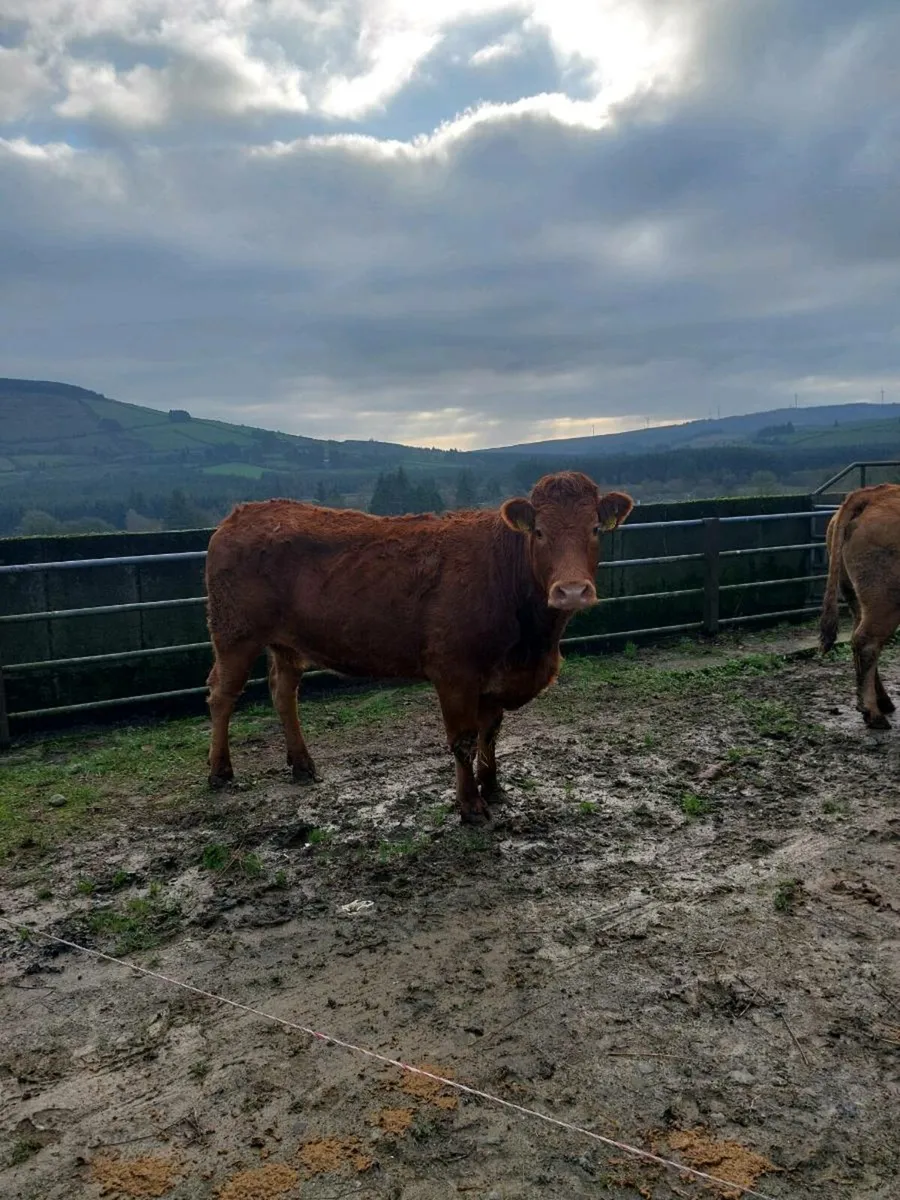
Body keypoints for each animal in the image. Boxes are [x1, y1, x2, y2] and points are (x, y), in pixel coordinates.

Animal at [205, 471, 634, 824]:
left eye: (596, 528)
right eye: (539, 532)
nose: (572, 591)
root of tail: (240, 515)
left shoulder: (497, 676)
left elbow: (490, 733)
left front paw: (493, 787)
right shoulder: (454, 672)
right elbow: (463, 740)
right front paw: (470, 806)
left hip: (286, 644)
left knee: (282, 692)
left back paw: (301, 764)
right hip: (233, 634)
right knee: (222, 694)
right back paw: (220, 771)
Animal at [819, 482, 900, 729]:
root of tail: (873, 494)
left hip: (857, 596)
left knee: (860, 637)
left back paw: (883, 702)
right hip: (886, 600)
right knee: (867, 642)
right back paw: (873, 712)